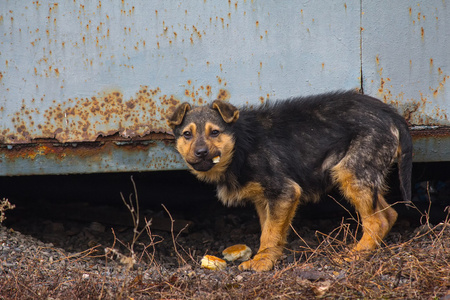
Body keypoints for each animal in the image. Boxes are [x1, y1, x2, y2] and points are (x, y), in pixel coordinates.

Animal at [168, 90, 412, 270]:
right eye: (187, 134)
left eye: (215, 132)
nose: (200, 153)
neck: (240, 145)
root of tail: (391, 114)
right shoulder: (265, 200)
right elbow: (270, 228)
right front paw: (269, 257)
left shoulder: (284, 191)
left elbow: (270, 233)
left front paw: (262, 263)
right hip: (363, 175)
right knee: (389, 214)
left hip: (351, 171)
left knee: (377, 221)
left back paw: (355, 255)